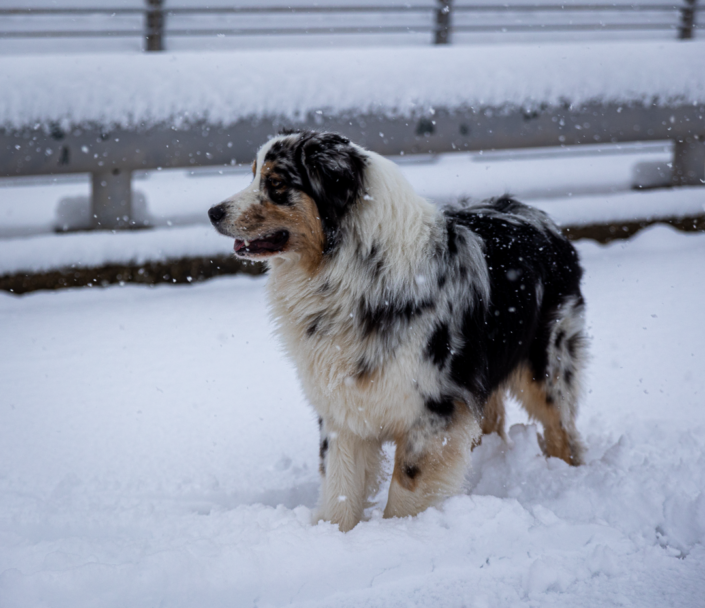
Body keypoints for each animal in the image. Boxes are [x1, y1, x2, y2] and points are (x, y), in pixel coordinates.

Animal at [209, 131, 588, 528]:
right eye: (253, 174)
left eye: (277, 183)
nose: (213, 212)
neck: (351, 271)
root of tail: (536, 213)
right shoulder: (344, 404)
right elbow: (340, 484)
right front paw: (333, 532)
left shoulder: (434, 409)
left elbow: (407, 488)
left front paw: (399, 531)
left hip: (548, 367)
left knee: (562, 432)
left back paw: (564, 477)